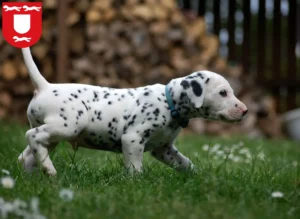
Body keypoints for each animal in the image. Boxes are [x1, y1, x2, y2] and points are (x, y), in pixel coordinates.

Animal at [19, 47, 248, 175]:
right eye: (223, 92)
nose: (245, 110)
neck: (168, 103)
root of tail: (45, 86)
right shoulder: (133, 139)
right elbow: (135, 168)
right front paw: (137, 182)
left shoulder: (163, 148)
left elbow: (185, 163)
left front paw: (198, 176)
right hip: (69, 126)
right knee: (31, 135)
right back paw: (50, 170)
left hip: (54, 136)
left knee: (27, 155)